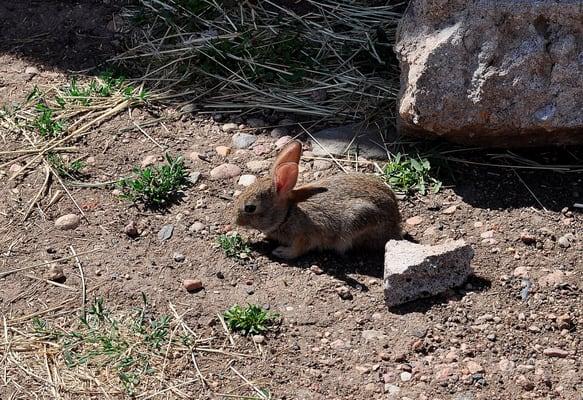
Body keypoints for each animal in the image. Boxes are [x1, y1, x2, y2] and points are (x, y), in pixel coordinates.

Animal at [233, 141, 402, 260]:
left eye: (250, 208)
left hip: (359, 220)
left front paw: (281, 252)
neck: (287, 213)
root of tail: (396, 222)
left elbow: (298, 249)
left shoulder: (304, 235)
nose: (235, 220)